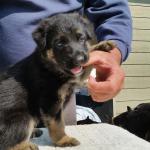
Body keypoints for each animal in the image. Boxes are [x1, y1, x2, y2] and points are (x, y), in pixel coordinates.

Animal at [0, 12, 115, 150]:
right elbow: (57, 123)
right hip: (23, 116)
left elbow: (87, 60)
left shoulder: (76, 74)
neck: (50, 66)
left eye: (81, 38)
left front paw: (102, 46)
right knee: (8, 142)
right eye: (59, 44)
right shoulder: (51, 99)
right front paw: (63, 140)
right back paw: (25, 146)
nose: (79, 59)